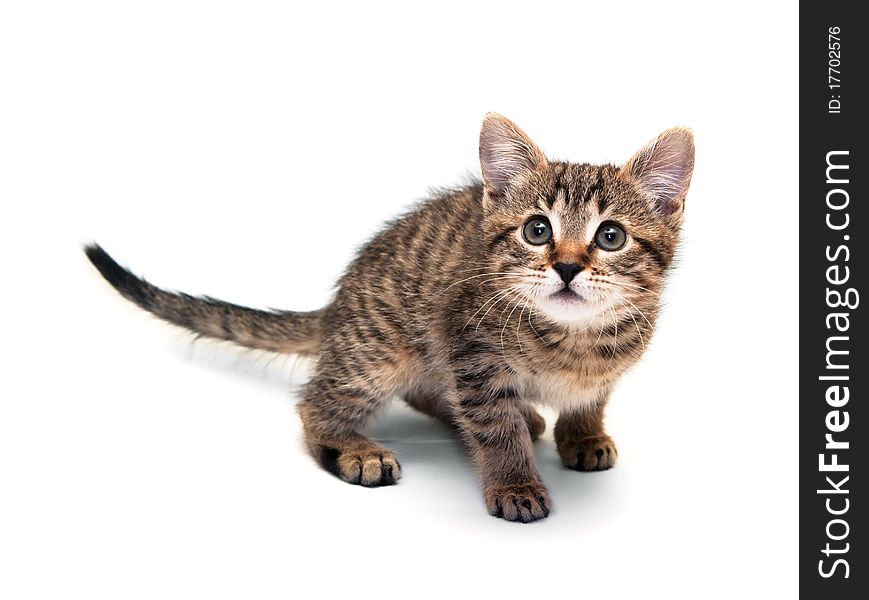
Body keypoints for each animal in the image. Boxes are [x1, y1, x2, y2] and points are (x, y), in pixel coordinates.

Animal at [86, 115, 692, 524]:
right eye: (537, 230)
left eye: (610, 236)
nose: (566, 266)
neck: (574, 339)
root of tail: (340, 303)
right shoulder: (468, 350)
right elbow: (494, 428)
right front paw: (514, 482)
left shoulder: (606, 365)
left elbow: (592, 397)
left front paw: (583, 432)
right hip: (379, 351)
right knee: (316, 404)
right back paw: (356, 450)